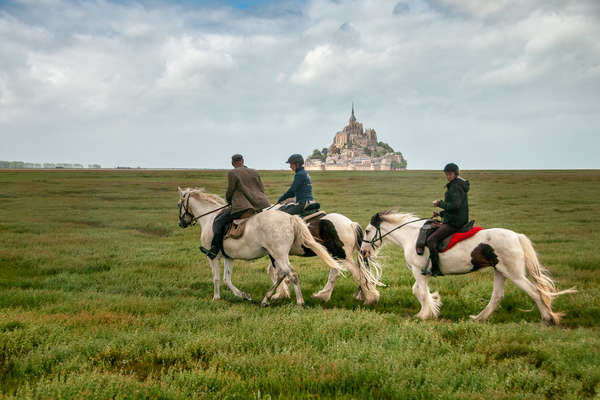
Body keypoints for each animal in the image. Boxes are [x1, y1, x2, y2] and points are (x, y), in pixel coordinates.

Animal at [177, 188, 346, 306]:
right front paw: (244, 295)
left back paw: (300, 301)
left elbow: (216, 277)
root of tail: (291, 218)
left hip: (279, 254)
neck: (210, 218)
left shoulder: (212, 257)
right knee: (284, 274)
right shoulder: (229, 257)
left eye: (179, 204)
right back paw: (268, 299)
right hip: (279, 255)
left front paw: (216, 298)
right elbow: (227, 278)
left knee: (292, 274)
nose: (181, 223)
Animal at [358, 211, 576, 324]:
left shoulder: (418, 271)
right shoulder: (422, 274)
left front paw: (424, 314)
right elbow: (419, 291)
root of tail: (516, 236)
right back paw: (479, 318)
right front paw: (433, 307)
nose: (363, 251)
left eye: (367, 231)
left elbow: (419, 291)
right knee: (497, 297)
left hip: (513, 273)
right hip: (500, 271)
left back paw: (548, 318)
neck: (411, 236)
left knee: (536, 292)